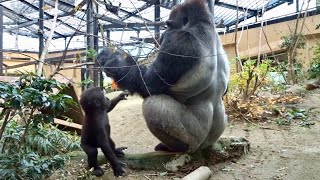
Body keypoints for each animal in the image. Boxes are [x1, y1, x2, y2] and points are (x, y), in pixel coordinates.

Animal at [97, 0, 230, 153]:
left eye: (169, 24)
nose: (164, 33)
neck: (203, 24)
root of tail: (203, 146)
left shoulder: (179, 40)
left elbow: (146, 84)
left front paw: (113, 60)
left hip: (195, 139)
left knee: (153, 105)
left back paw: (174, 147)